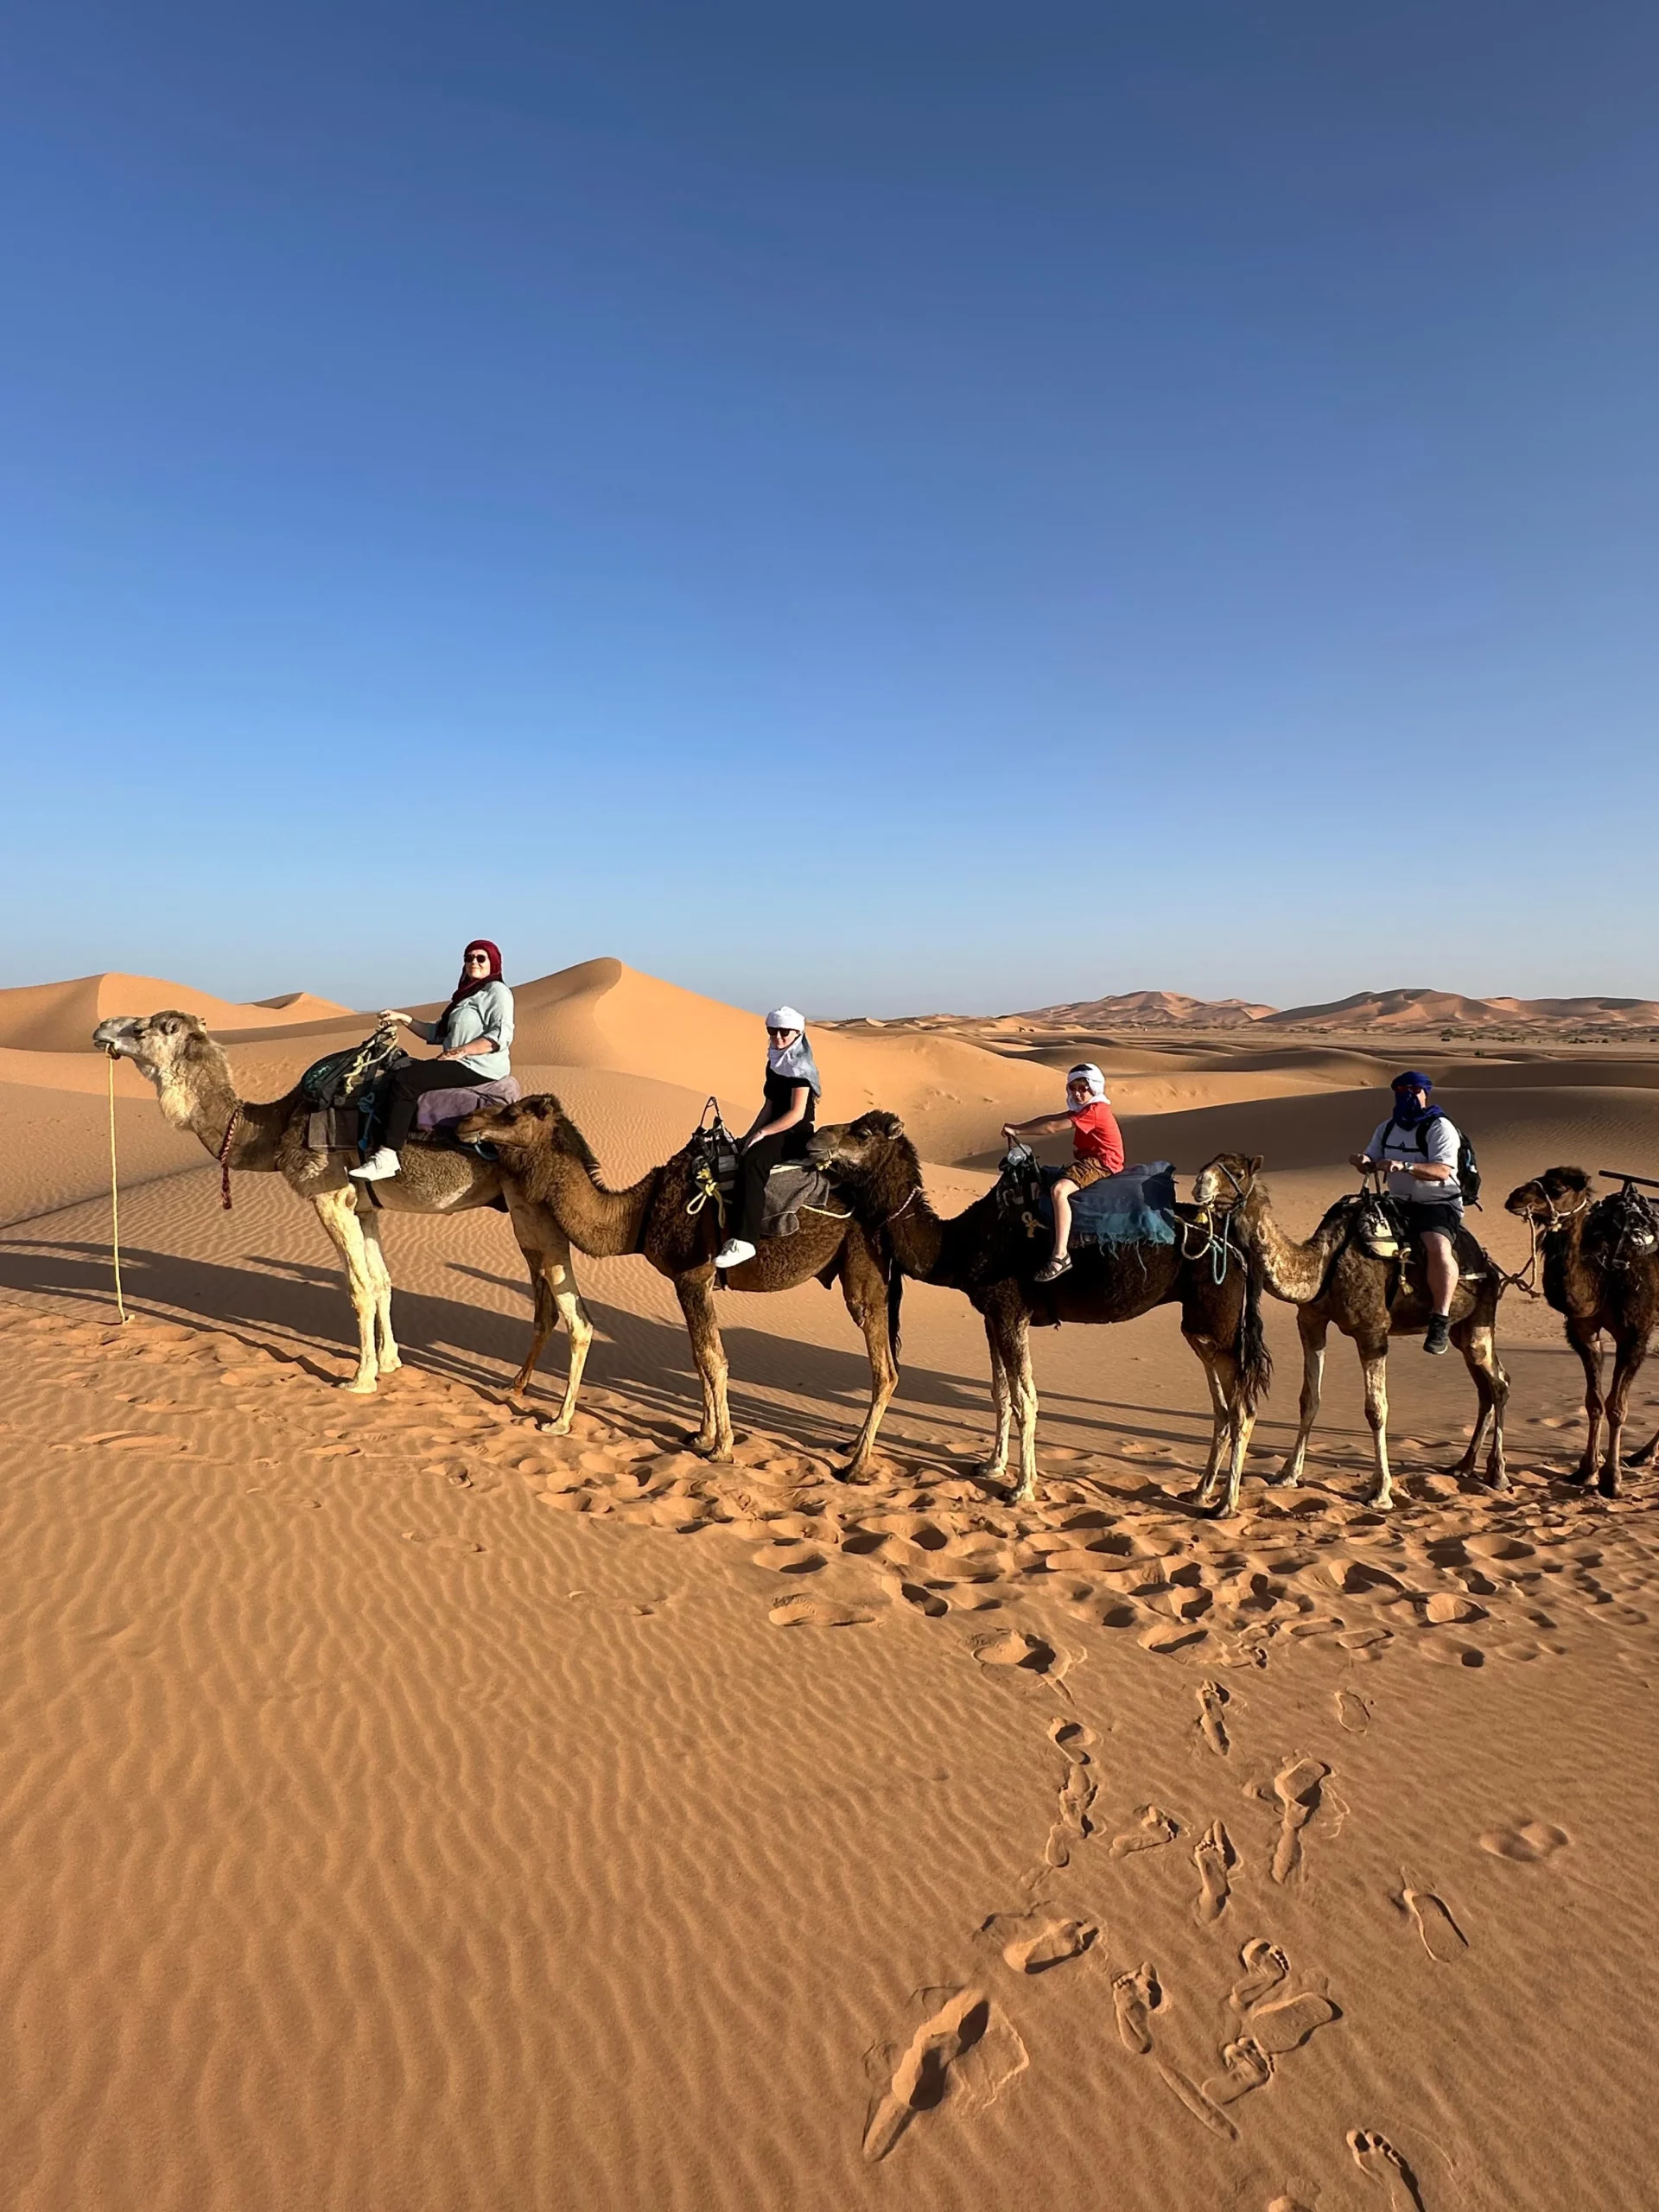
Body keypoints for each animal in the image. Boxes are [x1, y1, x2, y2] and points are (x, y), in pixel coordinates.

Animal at [93, 1011, 593, 1419]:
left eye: (147, 1028)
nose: (101, 1028)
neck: (275, 1129)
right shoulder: (365, 1207)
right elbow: (383, 1282)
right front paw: (390, 1362)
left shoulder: (328, 1196)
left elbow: (358, 1287)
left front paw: (360, 1379)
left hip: (535, 1214)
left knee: (574, 1314)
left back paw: (556, 1417)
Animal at [452, 1093, 902, 1473]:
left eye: (512, 1114)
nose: (464, 1121)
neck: (639, 1213)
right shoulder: (685, 1283)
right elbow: (697, 1357)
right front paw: (702, 1436)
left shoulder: (692, 1276)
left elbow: (712, 1358)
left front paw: (722, 1448)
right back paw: (851, 1449)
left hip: (863, 1270)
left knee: (884, 1369)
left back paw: (855, 1466)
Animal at [802, 1114, 1271, 1512]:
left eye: (862, 1133)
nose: (814, 1139)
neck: (960, 1244)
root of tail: (1238, 1246)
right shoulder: (992, 1315)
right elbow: (1002, 1394)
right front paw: (992, 1466)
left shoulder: (1011, 1312)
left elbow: (1027, 1399)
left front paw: (1021, 1488)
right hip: (1203, 1328)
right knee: (1223, 1408)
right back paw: (1198, 1492)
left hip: (1219, 1322)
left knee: (1244, 1408)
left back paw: (1225, 1505)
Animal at [1190, 1154, 1509, 1509]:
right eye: (1208, 1164)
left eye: (1238, 1171)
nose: (1199, 1184)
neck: (1323, 1265)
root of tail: (1490, 1264)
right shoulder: (1311, 1323)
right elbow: (1309, 1399)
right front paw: (1287, 1474)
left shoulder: (1372, 1332)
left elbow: (1376, 1409)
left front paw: (1380, 1492)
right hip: (1462, 1331)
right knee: (1486, 1387)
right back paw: (1464, 1466)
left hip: (1481, 1318)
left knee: (1499, 1385)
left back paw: (1497, 1474)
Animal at [1505, 1166, 1659, 1496]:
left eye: (1559, 1189)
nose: (1515, 1197)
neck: (1605, 1271)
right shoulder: (1584, 1332)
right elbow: (1594, 1403)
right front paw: (1586, 1471)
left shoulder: (1635, 1335)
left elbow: (1617, 1407)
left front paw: (1612, 1481)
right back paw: (1642, 1455)